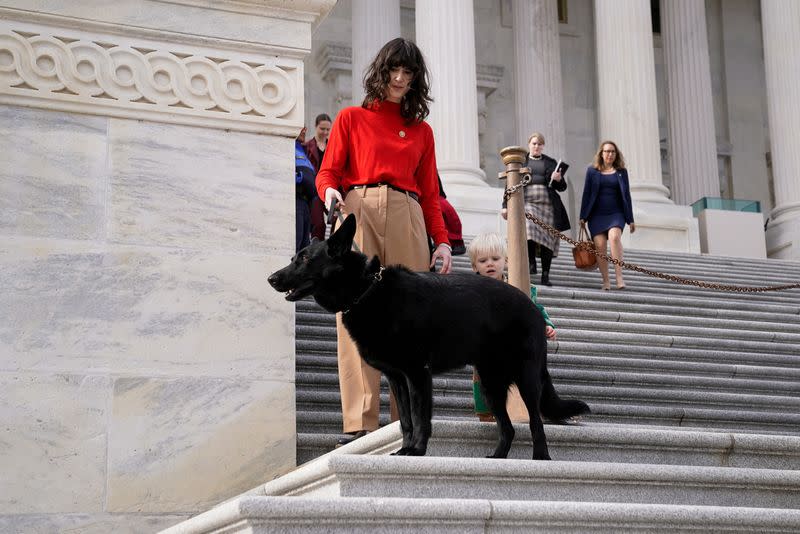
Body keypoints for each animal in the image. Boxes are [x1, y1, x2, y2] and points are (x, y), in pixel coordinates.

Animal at [268, 216, 588, 462]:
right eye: (293, 258)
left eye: (305, 258)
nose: (271, 279)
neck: (367, 291)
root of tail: (534, 307)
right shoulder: (397, 379)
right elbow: (406, 422)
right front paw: (404, 449)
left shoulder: (417, 374)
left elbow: (421, 418)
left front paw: (417, 451)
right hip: (490, 384)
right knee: (507, 428)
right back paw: (498, 457)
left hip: (525, 379)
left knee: (535, 422)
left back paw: (541, 458)